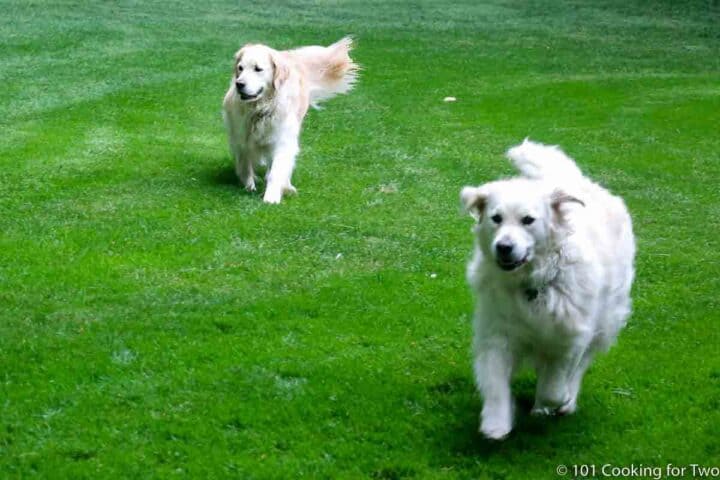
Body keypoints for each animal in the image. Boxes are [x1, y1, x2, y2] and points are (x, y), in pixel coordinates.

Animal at [222, 37, 358, 202]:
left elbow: (277, 170)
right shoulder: (240, 137)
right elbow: (244, 164)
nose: (239, 84)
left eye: (258, 69)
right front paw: (249, 186)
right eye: (240, 68)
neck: (260, 109)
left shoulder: (283, 138)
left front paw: (271, 197)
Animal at [462, 138, 636, 438]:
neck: (532, 284)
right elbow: (495, 382)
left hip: (604, 323)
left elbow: (554, 387)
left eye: (528, 220)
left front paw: (553, 401)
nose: (504, 247)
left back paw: (566, 401)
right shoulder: (498, 333)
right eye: (496, 218)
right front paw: (496, 422)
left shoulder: (569, 337)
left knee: (581, 366)